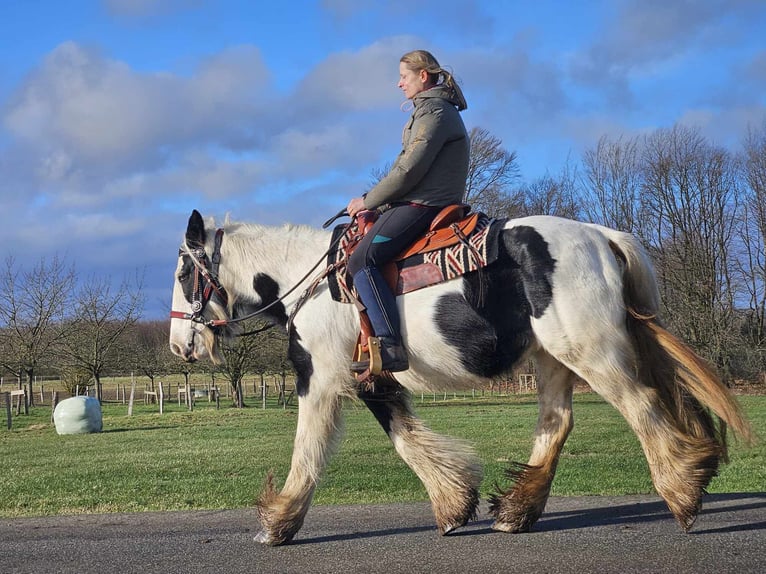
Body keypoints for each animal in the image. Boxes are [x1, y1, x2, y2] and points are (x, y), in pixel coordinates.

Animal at [170, 209, 756, 548]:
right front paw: (454, 503)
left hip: (590, 351)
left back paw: (683, 489)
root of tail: (600, 234)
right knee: (557, 422)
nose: (180, 345)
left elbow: (308, 449)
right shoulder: (373, 381)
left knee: (641, 405)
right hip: (554, 358)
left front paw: (279, 522)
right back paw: (517, 512)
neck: (308, 280)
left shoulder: (321, 376)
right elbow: (407, 439)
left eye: (183, 273)